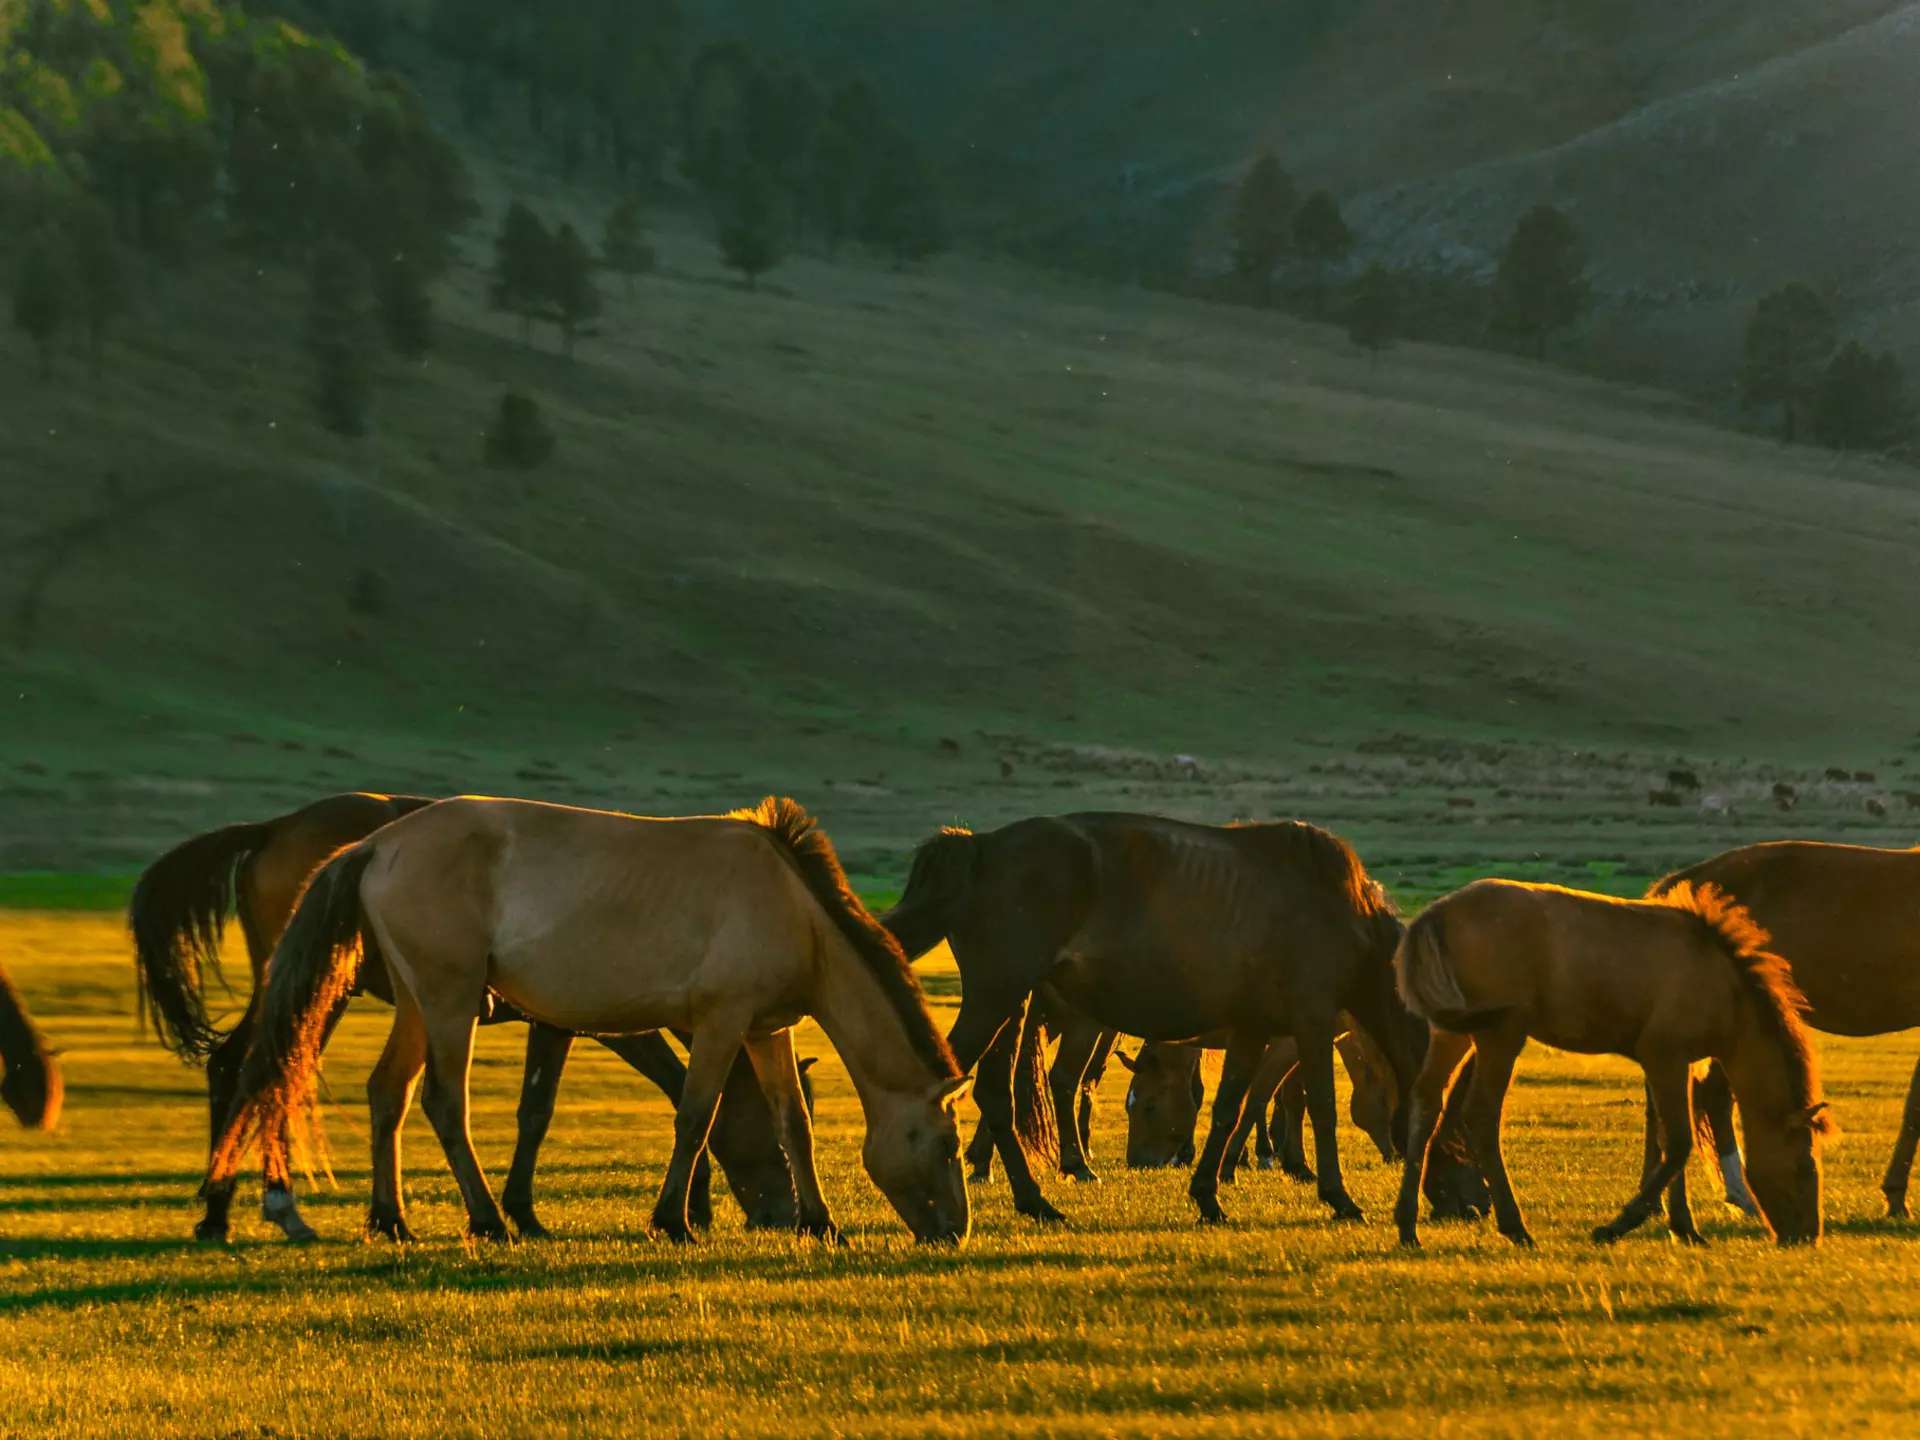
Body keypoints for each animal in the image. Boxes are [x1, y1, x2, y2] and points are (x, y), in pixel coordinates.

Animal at [131, 792, 802, 1242]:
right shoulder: (596, 1020)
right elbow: (641, 1094)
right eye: (773, 1134)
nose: (783, 1214)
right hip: (327, 989)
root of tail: (272, 829)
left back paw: (222, 1209)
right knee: (267, 1072)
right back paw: (277, 1206)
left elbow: (540, 1109)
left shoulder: (559, 1021)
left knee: (238, 1066)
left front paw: (525, 1209)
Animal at [208, 798, 972, 1245]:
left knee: (388, 1092)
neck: (791, 907)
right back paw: (487, 1222)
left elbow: (794, 1123)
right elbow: (695, 1115)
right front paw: (674, 1222)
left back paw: (391, 1220)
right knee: (442, 1102)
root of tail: (378, 844)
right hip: (451, 1001)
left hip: (417, 1001)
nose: (954, 1234)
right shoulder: (721, 1023)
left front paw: (820, 1222)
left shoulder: (765, 1029)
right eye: (948, 1146)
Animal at [885, 813, 1420, 1226]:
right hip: (1001, 1001)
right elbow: (1319, 1105)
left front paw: (1209, 1195)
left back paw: (1035, 1200)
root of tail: (980, 846)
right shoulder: (1311, 1022)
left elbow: (1230, 1108)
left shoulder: (1253, 1029)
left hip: (1008, 1009)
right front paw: (1338, 1197)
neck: (1340, 910)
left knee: (996, 1097)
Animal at [1394, 879, 1829, 1249]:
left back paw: (1407, 1225)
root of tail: (1435, 915)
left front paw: (1684, 1228)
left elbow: (1665, 1138)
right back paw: (1515, 1226)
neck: (1723, 985)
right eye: (1804, 1167)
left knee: (1426, 1103)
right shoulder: (1664, 1056)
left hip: (1452, 1032)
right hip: (1500, 1035)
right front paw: (1618, 1225)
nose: (1807, 1236)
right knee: (1481, 1116)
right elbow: (1678, 1143)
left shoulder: (1676, 1064)